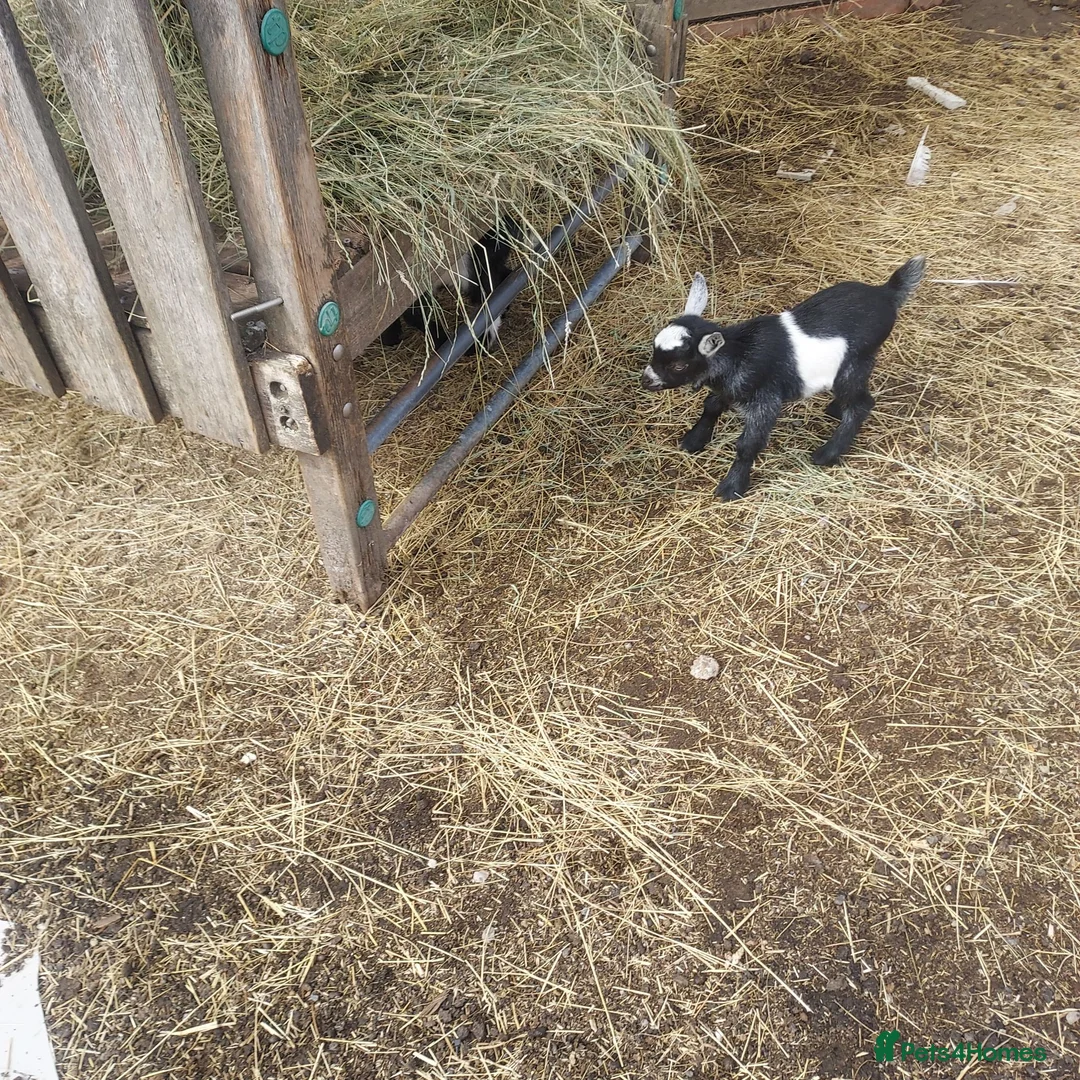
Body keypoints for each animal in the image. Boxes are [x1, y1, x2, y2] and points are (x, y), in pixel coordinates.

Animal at [640, 256, 926, 500]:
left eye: (678, 365)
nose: (646, 380)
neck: (739, 353)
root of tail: (886, 292)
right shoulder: (732, 387)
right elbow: (711, 405)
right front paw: (693, 440)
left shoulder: (766, 399)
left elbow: (747, 444)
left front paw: (732, 488)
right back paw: (835, 409)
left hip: (854, 362)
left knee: (861, 404)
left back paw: (827, 454)